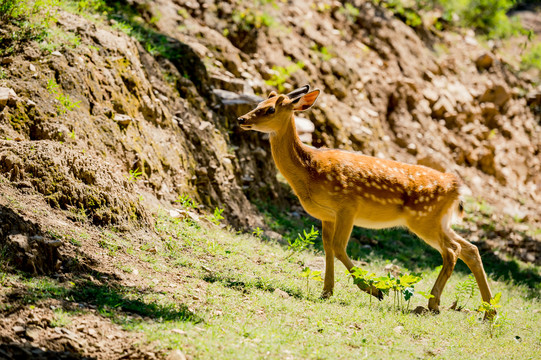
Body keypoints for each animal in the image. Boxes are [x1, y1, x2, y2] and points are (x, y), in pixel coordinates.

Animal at [237, 86, 494, 316]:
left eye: (270, 109)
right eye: (258, 103)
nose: (241, 119)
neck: (309, 170)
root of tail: (455, 186)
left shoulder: (347, 206)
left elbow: (339, 247)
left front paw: (374, 289)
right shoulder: (326, 215)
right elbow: (327, 247)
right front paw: (326, 291)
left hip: (423, 219)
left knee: (452, 250)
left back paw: (434, 303)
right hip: (439, 221)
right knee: (470, 249)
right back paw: (488, 312)